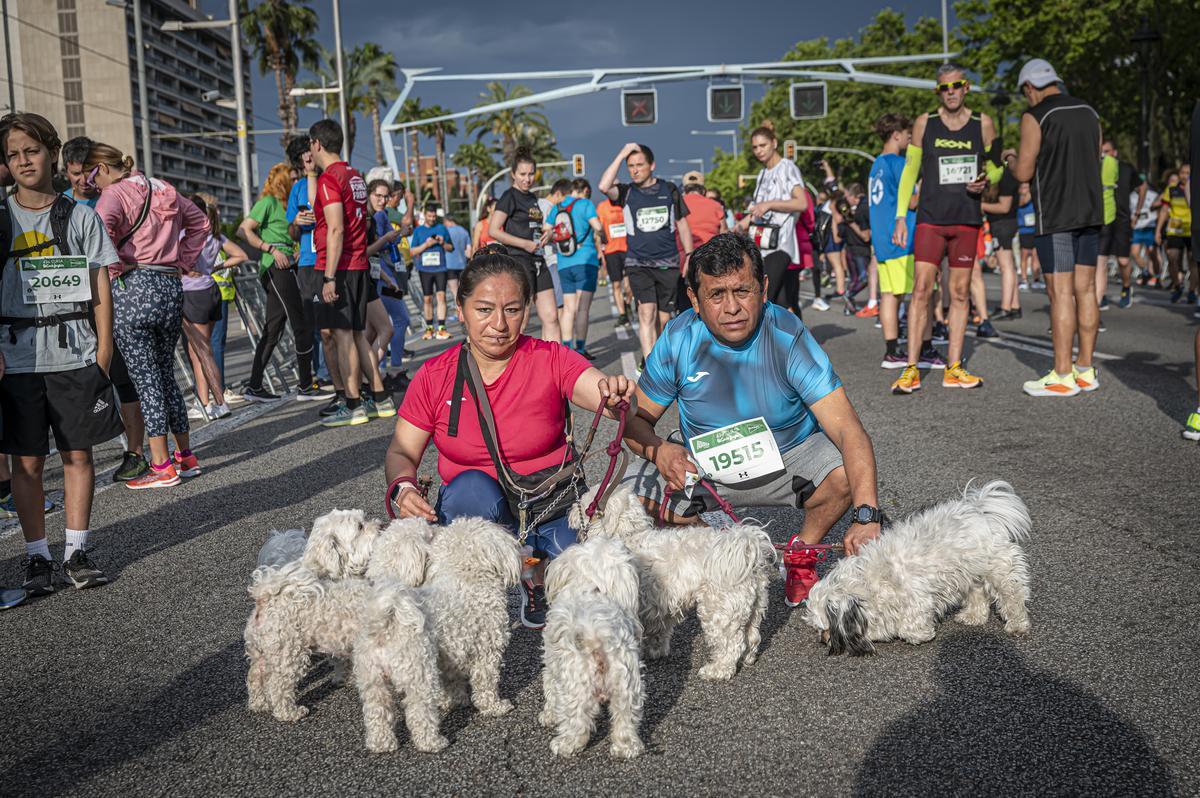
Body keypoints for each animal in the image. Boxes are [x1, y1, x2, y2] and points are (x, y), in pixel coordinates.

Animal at [540, 532, 643, 758]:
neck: (591, 587)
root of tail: (597, 637)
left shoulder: (551, 667)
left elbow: (550, 691)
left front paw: (548, 716)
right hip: (626, 682)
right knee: (625, 716)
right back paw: (625, 747)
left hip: (575, 685)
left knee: (577, 722)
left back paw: (565, 744)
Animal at [571, 484, 777, 676]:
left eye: (585, 503)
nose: (572, 508)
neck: (628, 534)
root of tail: (747, 546)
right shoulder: (658, 604)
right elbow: (658, 631)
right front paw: (655, 651)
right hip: (755, 604)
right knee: (752, 636)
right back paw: (748, 658)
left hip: (719, 609)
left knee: (731, 644)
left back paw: (717, 670)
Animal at [806, 480, 1032, 652]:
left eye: (824, 628)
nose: (821, 640)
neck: (867, 582)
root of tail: (978, 509)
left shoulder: (916, 597)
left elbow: (910, 625)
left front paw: (922, 634)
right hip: (968, 571)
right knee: (977, 593)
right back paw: (973, 616)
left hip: (999, 568)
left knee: (1012, 595)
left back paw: (1017, 623)